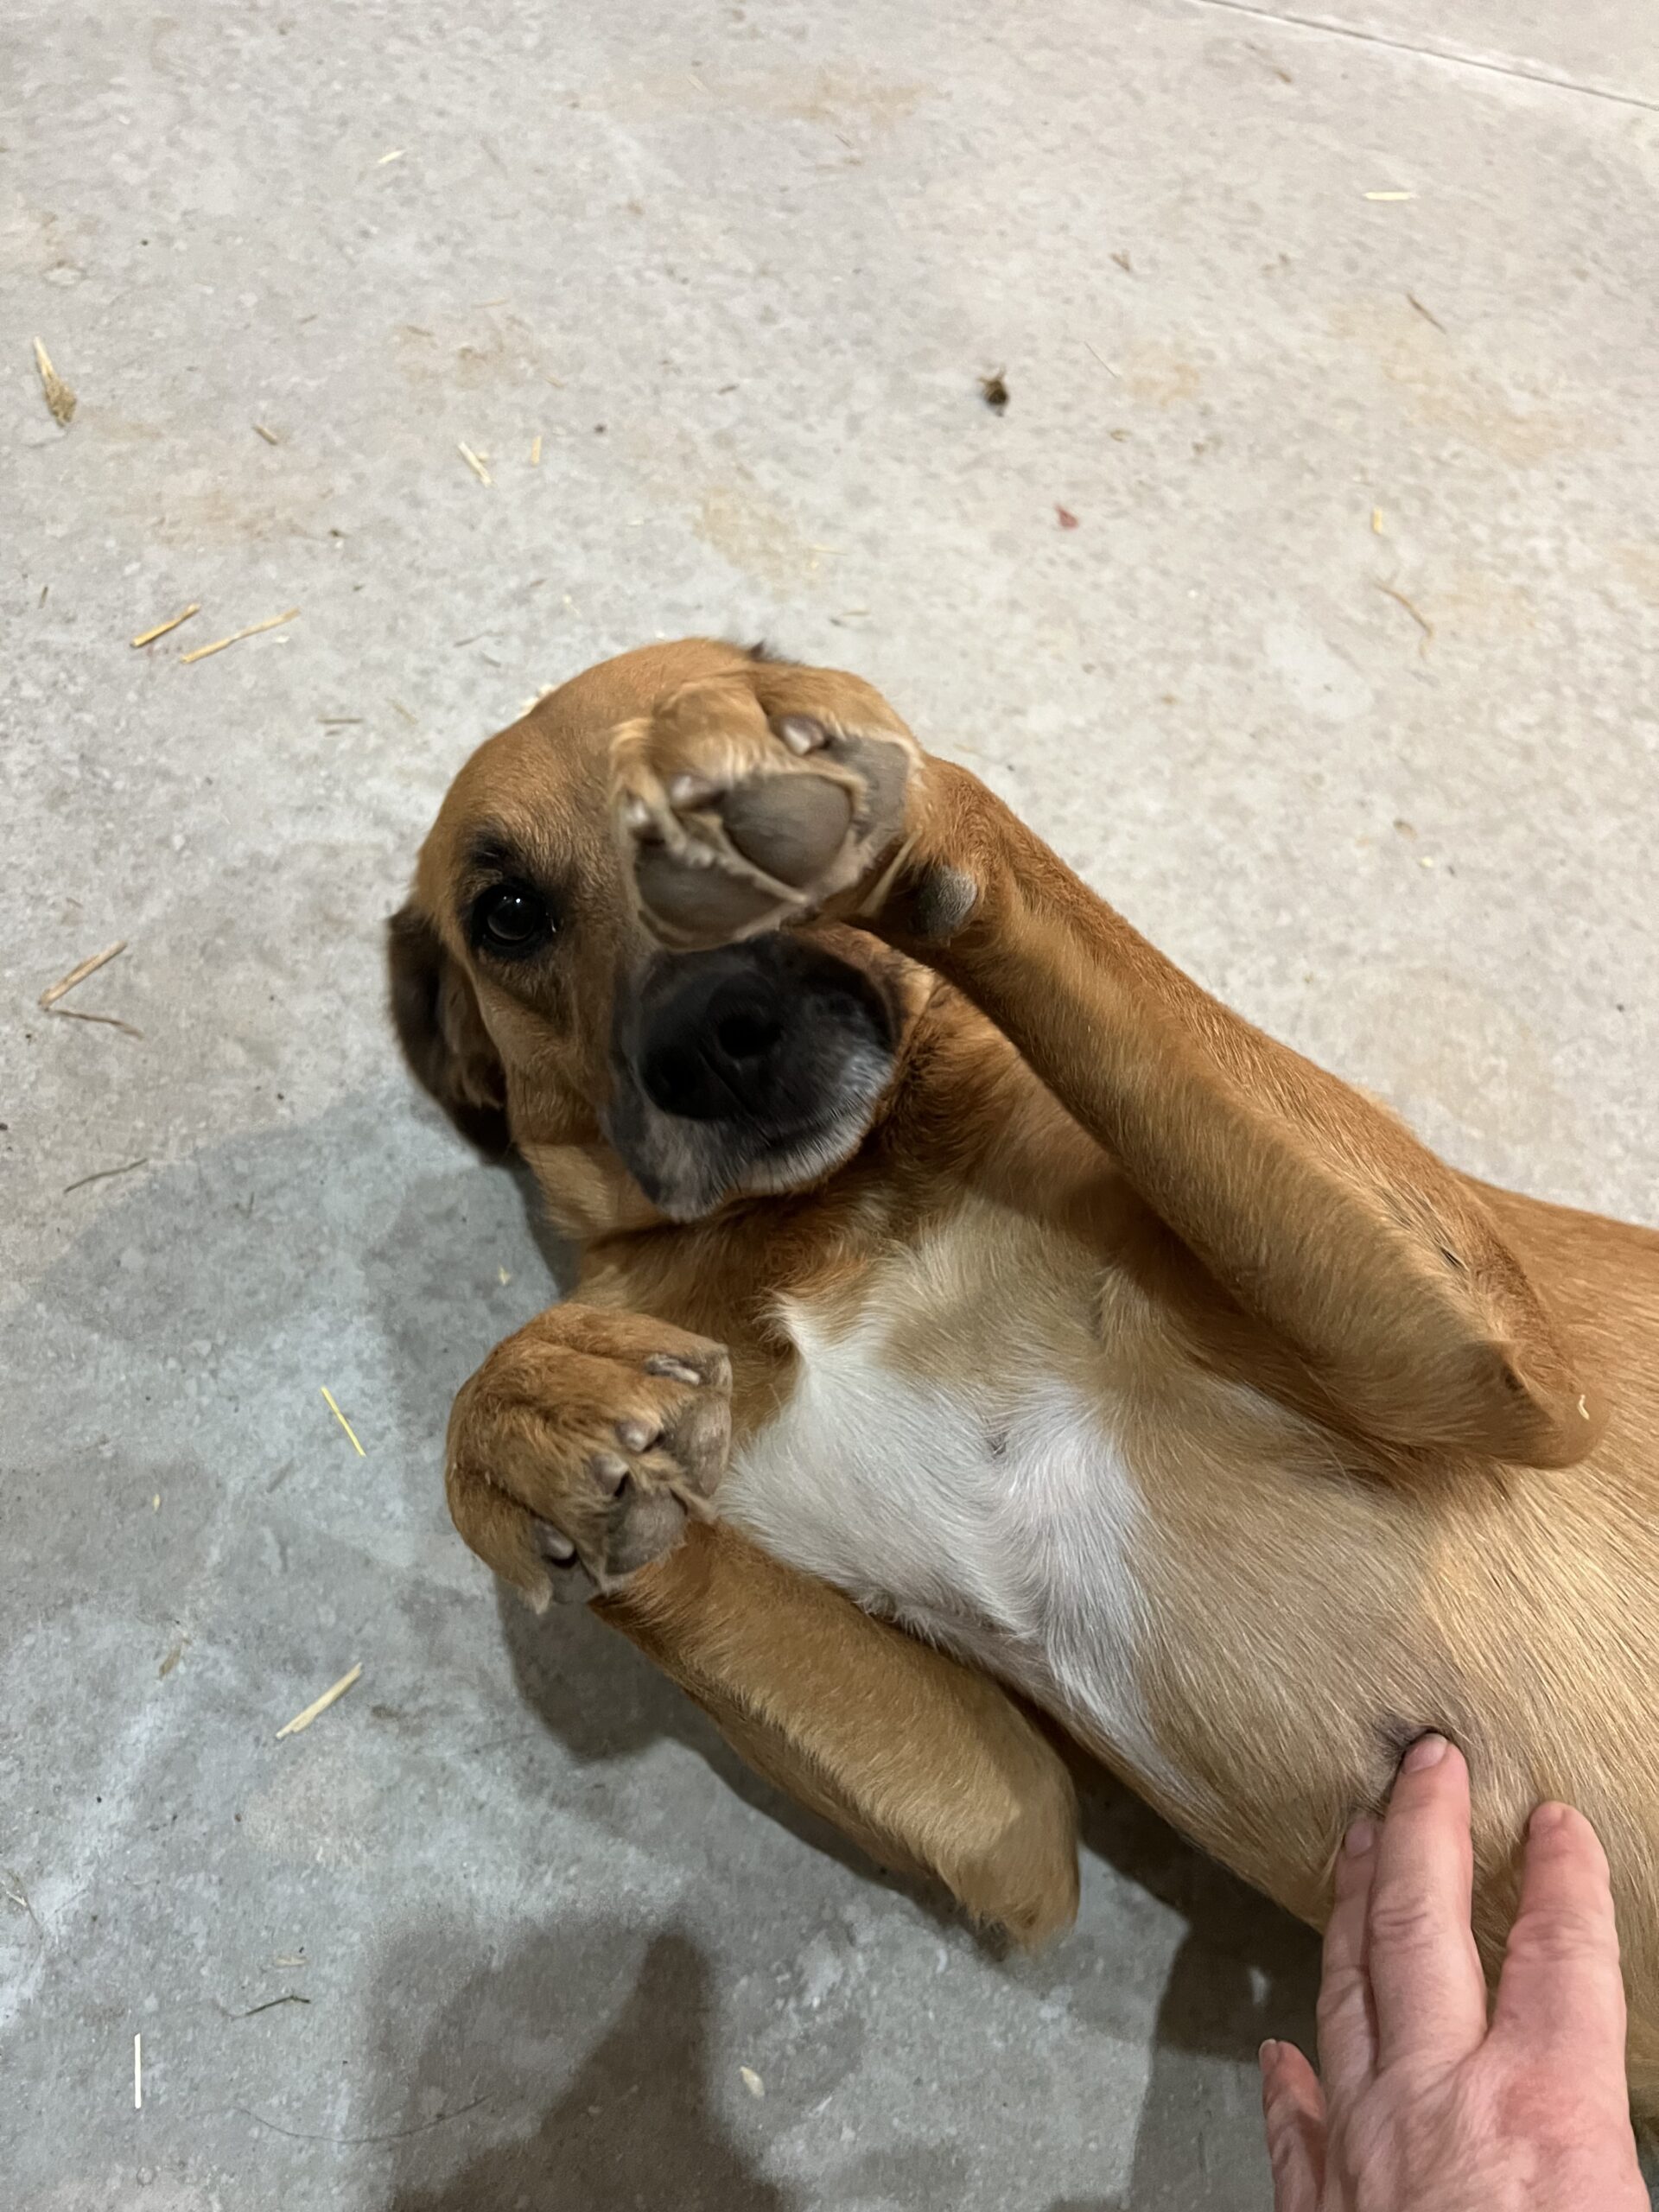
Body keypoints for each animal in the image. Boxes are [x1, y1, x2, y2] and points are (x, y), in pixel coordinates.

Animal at [391, 638, 1659, 2113]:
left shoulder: (1472, 1356)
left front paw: (787, 753)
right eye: (508, 911)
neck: (829, 1216)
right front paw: (526, 1431)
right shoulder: (1002, 1816)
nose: (712, 1032)